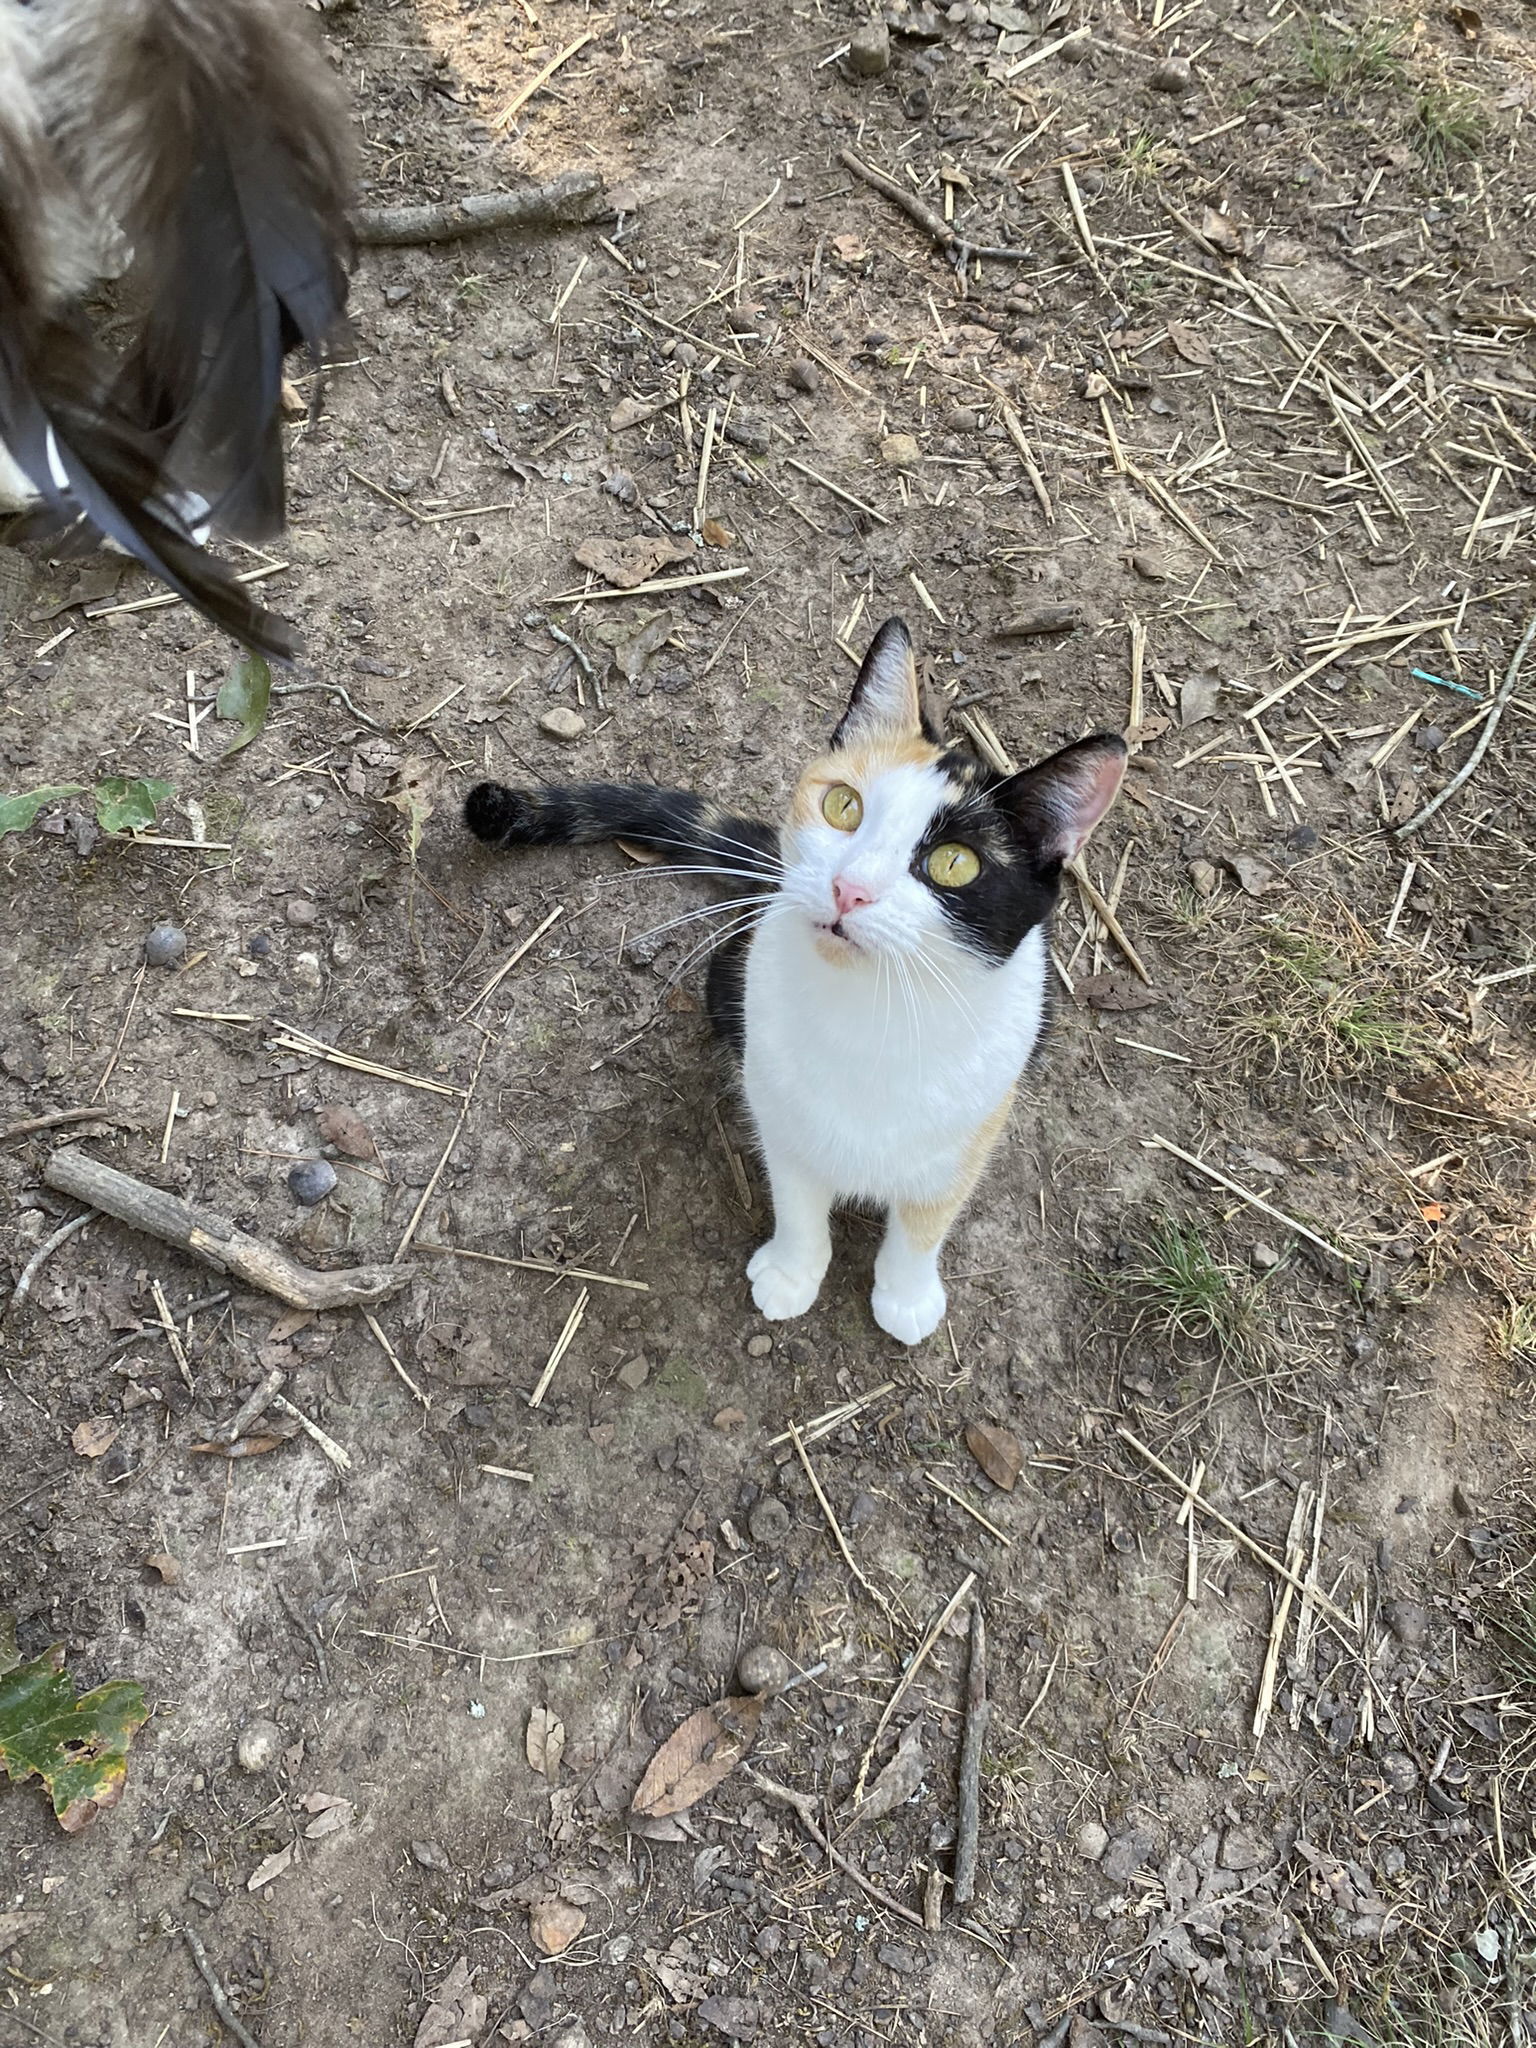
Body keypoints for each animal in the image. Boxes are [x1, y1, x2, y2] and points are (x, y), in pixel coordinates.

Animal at [462, 614, 1122, 1343]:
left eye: (955, 864)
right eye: (843, 806)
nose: (848, 889)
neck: (868, 1016)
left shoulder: (969, 1132)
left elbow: (925, 1222)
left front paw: (906, 1296)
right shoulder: (778, 1109)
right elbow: (800, 1202)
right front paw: (790, 1273)